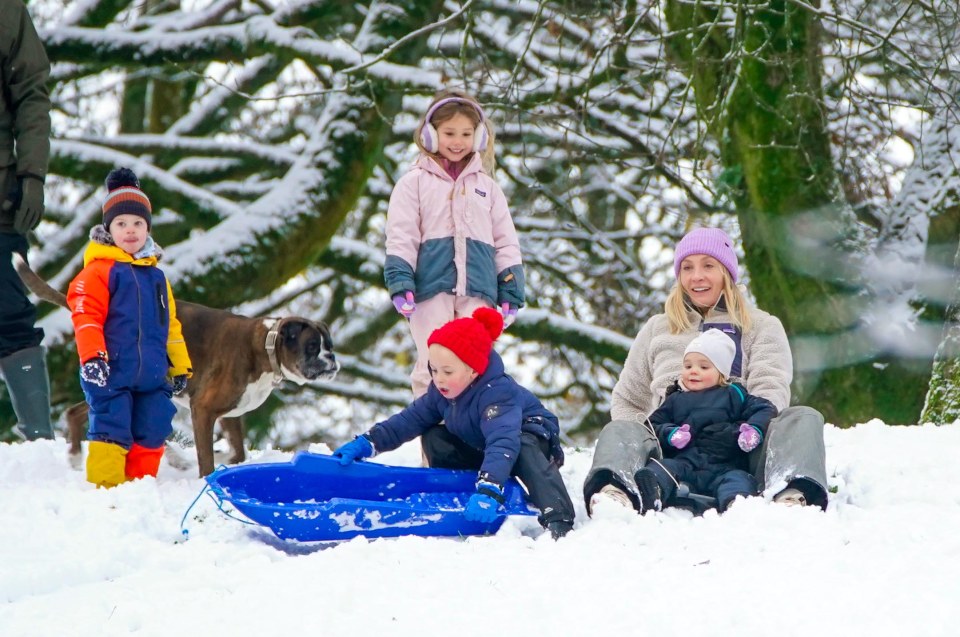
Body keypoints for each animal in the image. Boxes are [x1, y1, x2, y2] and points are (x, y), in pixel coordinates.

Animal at [14, 256, 342, 474]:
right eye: (312, 347)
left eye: (330, 345)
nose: (332, 360)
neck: (264, 346)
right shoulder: (204, 408)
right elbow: (207, 457)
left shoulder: (229, 413)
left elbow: (236, 453)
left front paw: (204, 459)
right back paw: (76, 457)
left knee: (84, 414)